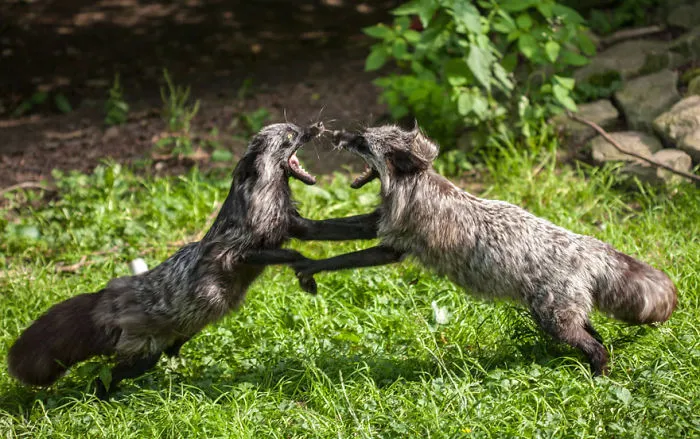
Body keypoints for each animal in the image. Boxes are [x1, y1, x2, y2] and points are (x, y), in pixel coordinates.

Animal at [7, 122, 377, 398]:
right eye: (289, 136)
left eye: (296, 129)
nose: (317, 127)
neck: (265, 201)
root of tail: (107, 298)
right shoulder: (237, 251)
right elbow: (294, 254)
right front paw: (307, 276)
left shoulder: (295, 226)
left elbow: (338, 230)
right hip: (143, 357)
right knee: (104, 378)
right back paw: (101, 400)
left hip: (156, 349)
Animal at [292, 124, 678, 376]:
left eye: (361, 142)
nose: (334, 136)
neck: (414, 187)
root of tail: (586, 247)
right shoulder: (379, 222)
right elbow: (331, 228)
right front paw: (297, 225)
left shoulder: (394, 246)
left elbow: (339, 258)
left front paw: (308, 267)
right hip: (563, 317)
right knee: (597, 336)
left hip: (553, 320)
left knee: (597, 346)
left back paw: (598, 377)